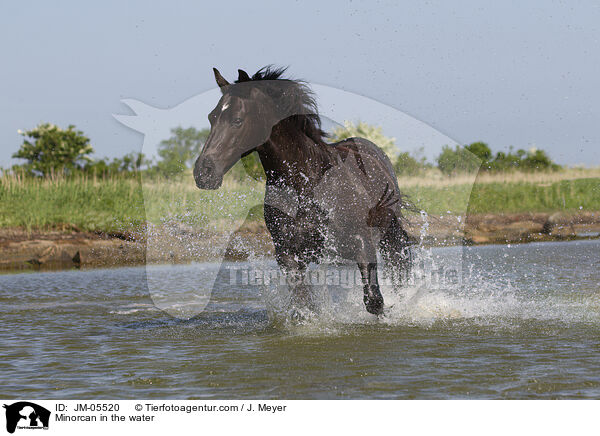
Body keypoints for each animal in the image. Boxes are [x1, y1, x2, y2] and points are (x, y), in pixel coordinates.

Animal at [195, 67, 410, 314]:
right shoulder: (289, 255)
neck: (306, 185)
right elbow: (302, 305)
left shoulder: (362, 242)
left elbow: (374, 301)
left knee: (399, 266)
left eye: (237, 120)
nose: (203, 172)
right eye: (211, 117)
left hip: (391, 233)